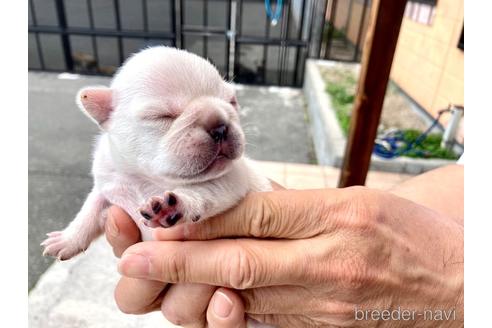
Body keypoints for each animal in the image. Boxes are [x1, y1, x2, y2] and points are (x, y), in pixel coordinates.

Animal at [41, 46, 272, 260]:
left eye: (232, 102)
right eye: (162, 116)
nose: (221, 127)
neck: (145, 178)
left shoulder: (232, 179)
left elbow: (205, 190)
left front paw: (175, 205)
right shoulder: (106, 184)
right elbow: (89, 210)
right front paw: (67, 239)